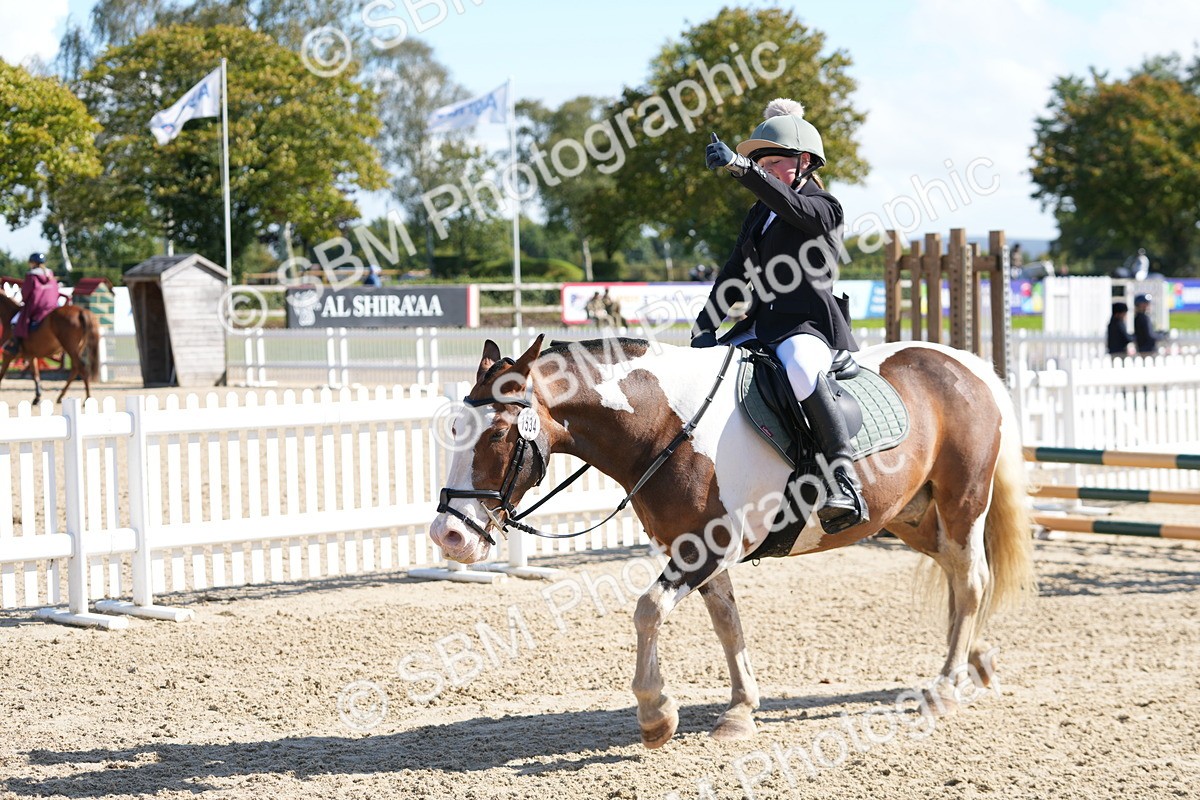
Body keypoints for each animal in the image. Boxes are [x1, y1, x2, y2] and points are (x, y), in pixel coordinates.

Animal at [429, 335, 1035, 749]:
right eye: (455, 428)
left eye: (499, 433)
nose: (449, 535)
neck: (664, 425)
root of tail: (966, 364)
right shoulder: (697, 549)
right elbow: (727, 624)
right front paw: (741, 710)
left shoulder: (706, 547)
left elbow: (647, 610)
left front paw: (656, 716)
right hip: (909, 517)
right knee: (959, 578)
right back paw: (976, 659)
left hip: (961, 506)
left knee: (971, 578)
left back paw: (945, 686)